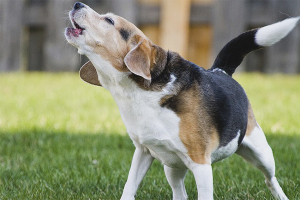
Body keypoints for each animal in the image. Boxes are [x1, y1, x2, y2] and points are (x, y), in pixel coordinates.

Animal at [65, 1, 298, 200]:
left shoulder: (201, 163)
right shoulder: (143, 151)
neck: (136, 93)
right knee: (180, 193)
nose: (76, 4)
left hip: (262, 152)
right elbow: (129, 187)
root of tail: (219, 70)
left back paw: (281, 195)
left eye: (109, 20)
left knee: (270, 179)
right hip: (172, 167)